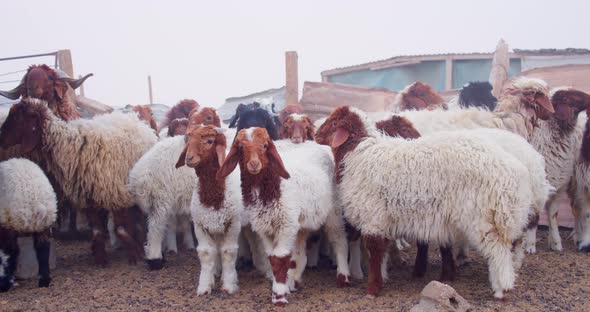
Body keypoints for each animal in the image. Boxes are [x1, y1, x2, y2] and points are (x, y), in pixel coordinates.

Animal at [0, 158, 57, 292]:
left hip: (9, 220)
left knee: (10, 251)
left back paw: (5, 284)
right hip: (44, 222)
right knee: (42, 248)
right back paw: (44, 281)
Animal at [220, 128, 354, 306]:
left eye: (265, 146)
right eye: (240, 147)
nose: (254, 164)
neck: (275, 187)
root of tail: (319, 145)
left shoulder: (285, 225)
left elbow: (280, 258)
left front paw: (279, 296)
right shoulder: (265, 228)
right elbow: (272, 258)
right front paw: (282, 288)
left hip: (334, 209)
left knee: (338, 239)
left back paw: (343, 276)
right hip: (301, 221)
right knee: (299, 252)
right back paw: (294, 280)